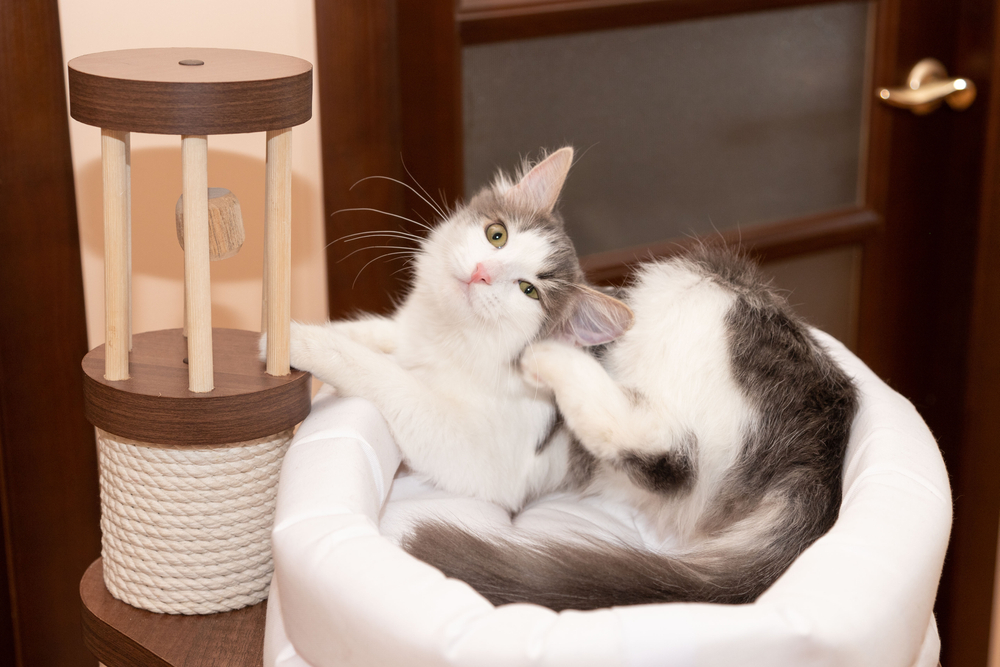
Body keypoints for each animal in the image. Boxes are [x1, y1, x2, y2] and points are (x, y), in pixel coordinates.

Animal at [280, 149, 860, 612]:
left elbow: (383, 375)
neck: (455, 342)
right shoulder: (408, 338)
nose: (482, 275)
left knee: (669, 452)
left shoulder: (488, 457)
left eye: (529, 291)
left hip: (693, 298)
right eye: (496, 234)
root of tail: (829, 429)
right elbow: (374, 337)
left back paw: (552, 360)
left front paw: (295, 341)